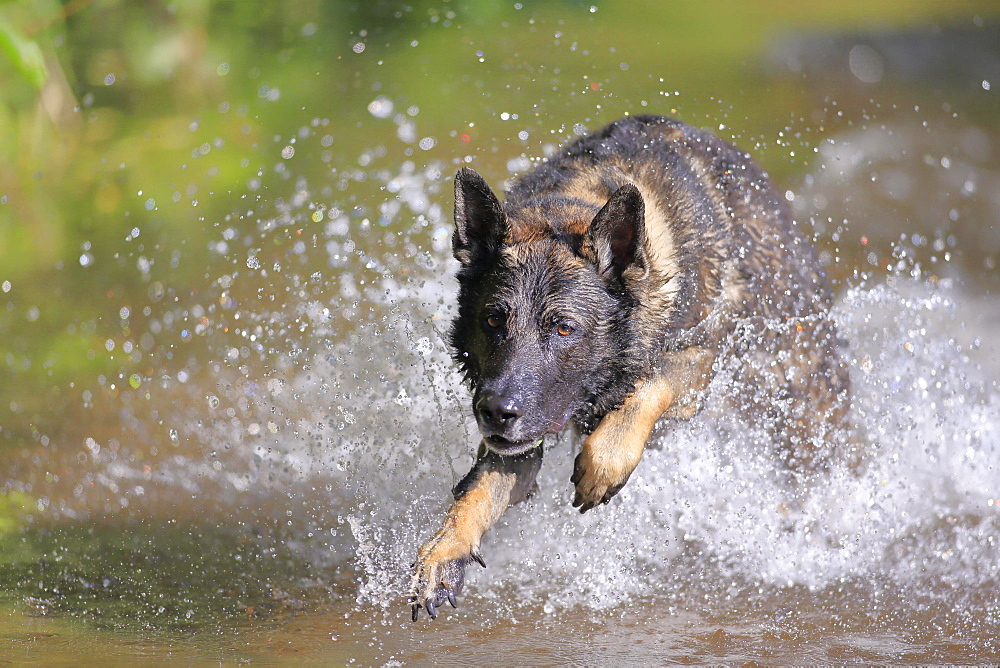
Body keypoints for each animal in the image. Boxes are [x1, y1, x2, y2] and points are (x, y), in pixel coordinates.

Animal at [410, 115, 848, 620]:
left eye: (564, 328)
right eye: (493, 320)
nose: (496, 412)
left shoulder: (697, 360)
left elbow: (649, 387)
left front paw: (605, 462)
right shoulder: (517, 442)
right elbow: (476, 493)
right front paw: (442, 552)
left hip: (800, 409)